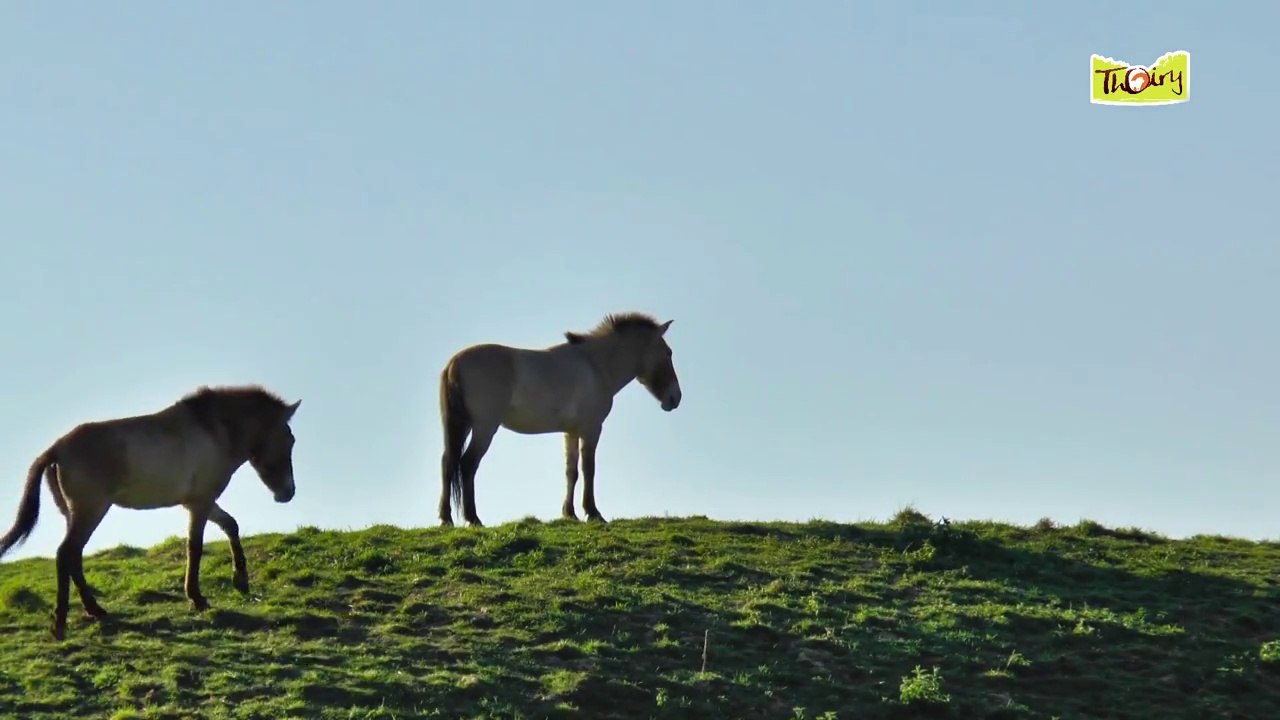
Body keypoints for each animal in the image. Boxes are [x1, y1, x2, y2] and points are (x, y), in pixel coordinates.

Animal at [0, 385, 302, 641]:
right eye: (289, 439)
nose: (287, 493)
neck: (213, 429)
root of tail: (56, 449)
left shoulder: (200, 501)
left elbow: (231, 526)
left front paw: (240, 581)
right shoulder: (200, 502)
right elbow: (195, 547)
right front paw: (197, 597)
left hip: (75, 515)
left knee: (74, 557)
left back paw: (95, 610)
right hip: (90, 510)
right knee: (66, 555)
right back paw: (61, 623)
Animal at [437, 311, 682, 527]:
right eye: (668, 353)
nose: (676, 397)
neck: (595, 364)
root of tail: (454, 364)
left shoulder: (571, 431)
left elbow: (571, 472)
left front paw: (570, 513)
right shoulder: (591, 429)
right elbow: (589, 469)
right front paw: (593, 512)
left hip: (460, 426)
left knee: (448, 462)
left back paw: (446, 518)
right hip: (484, 427)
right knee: (467, 464)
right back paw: (473, 518)